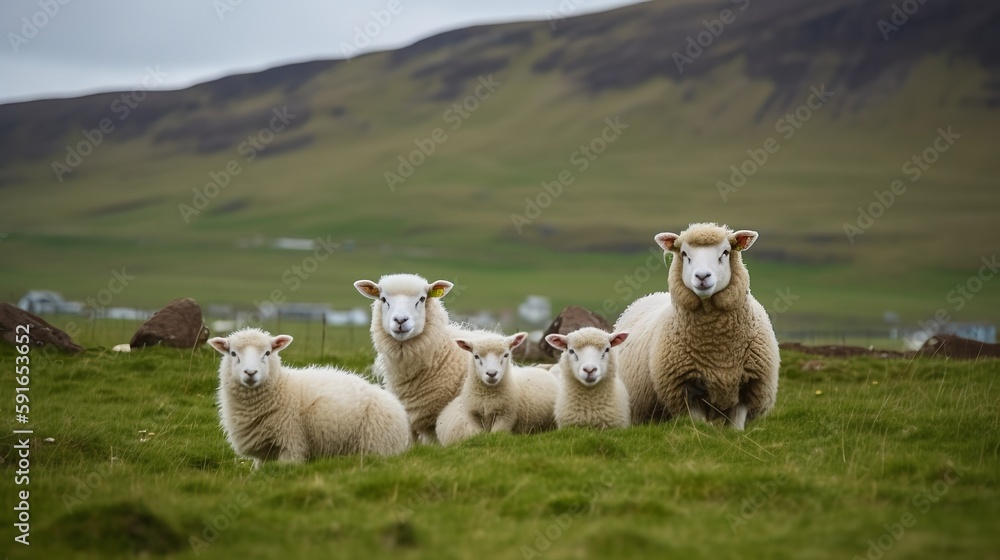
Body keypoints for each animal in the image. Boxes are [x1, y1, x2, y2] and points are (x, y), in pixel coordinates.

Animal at [210, 327, 410, 467]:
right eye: (233, 353)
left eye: (267, 352)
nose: (250, 373)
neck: (281, 388)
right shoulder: (263, 454)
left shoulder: (292, 442)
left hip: (376, 445)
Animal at [615, 222, 780, 430]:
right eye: (684, 253)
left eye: (725, 252)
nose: (702, 276)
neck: (717, 347)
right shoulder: (684, 389)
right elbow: (698, 425)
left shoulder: (750, 387)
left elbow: (736, 427)